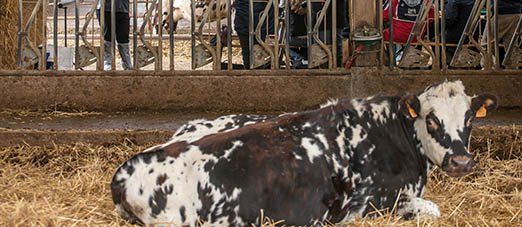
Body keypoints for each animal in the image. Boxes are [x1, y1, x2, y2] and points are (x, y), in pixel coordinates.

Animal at [110, 80, 496, 225]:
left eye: (469, 119)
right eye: (431, 119)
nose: (461, 160)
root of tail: (126, 171)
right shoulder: (370, 203)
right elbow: (431, 208)